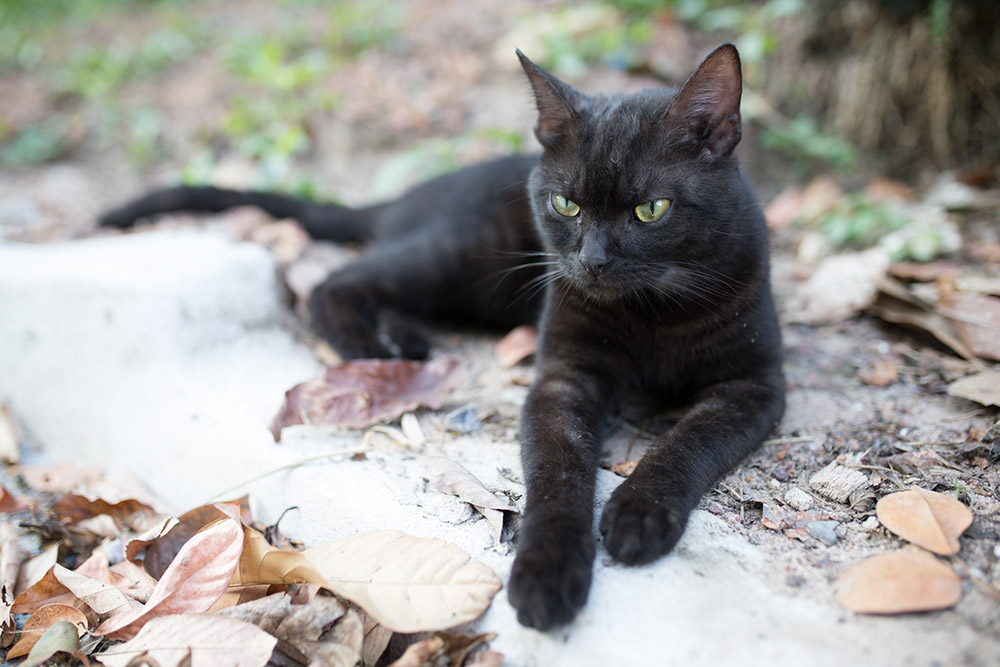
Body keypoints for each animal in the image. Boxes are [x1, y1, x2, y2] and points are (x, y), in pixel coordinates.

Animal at [103, 45, 788, 632]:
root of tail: (412, 192)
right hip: (461, 258)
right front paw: (547, 574)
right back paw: (377, 348)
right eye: (565, 205)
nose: (590, 262)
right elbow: (558, 475)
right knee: (333, 279)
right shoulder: (561, 378)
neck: (650, 316)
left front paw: (639, 515)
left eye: (651, 210)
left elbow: (685, 443)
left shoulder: (754, 386)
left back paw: (402, 337)